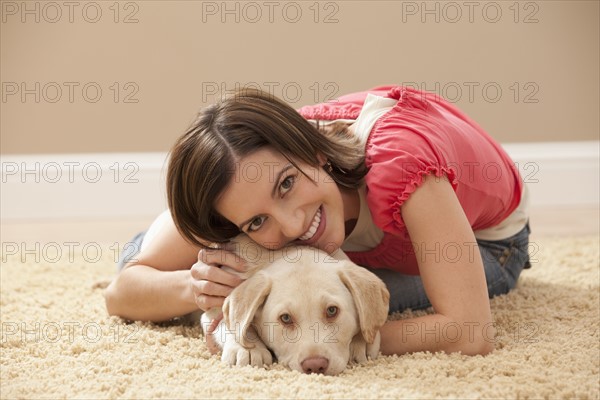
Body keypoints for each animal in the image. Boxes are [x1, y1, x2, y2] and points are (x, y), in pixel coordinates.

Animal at [202, 234, 390, 376]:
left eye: (332, 310)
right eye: (285, 318)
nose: (315, 365)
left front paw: (361, 341)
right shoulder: (213, 306)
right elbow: (227, 322)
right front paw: (247, 348)